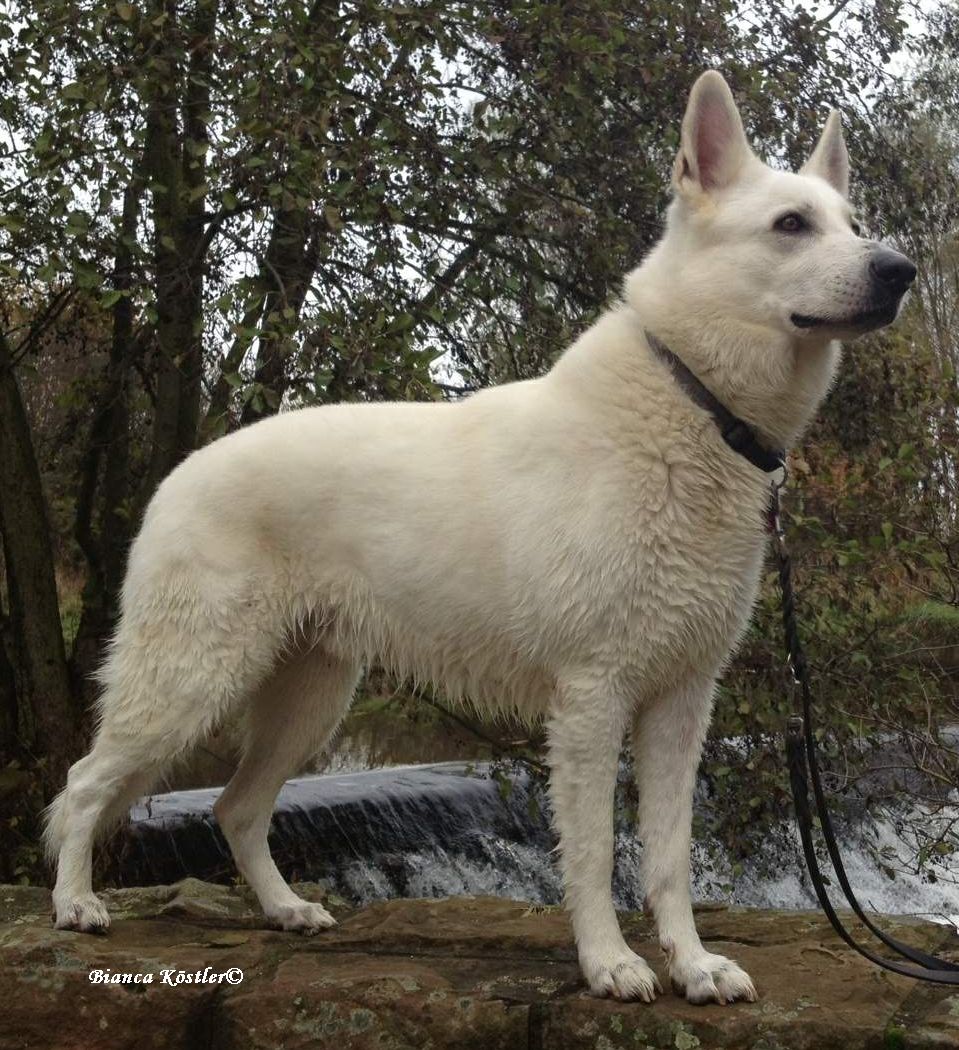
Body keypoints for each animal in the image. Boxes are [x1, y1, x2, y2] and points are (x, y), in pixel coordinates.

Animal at [44, 69, 911, 1003]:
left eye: (850, 225)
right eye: (790, 225)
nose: (899, 271)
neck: (695, 403)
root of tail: (181, 471)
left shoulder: (680, 705)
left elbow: (670, 857)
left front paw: (692, 965)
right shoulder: (592, 699)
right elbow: (594, 852)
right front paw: (610, 963)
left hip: (309, 698)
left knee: (235, 807)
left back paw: (284, 910)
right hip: (193, 680)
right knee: (85, 782)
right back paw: (76, 905)